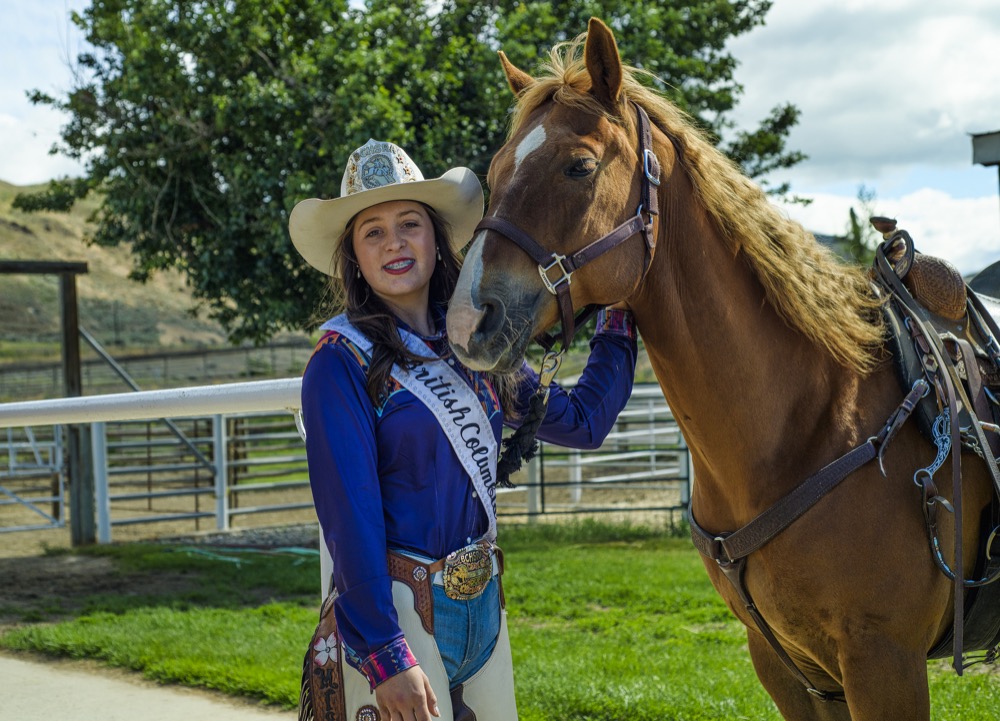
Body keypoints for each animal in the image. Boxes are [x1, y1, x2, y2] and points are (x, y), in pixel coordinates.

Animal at [446, 16, 1000, 720]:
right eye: (493, 171)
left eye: (580, 166)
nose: (468, 318)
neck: (818, 422)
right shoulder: (794, 670)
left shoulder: (885, 665)